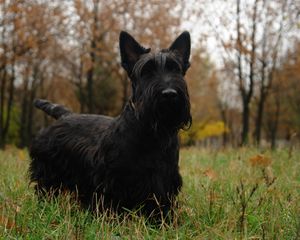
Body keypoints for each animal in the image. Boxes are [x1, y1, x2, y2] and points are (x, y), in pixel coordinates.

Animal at [28, 31, 192, 219]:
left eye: (175, 69)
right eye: (146, 71)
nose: (169, 94)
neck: (152, 133)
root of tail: (66, 115)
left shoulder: (164, 179)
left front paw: (163, 220)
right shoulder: (113, 179)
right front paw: (111, 219)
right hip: (48, 169)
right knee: (46, 188)